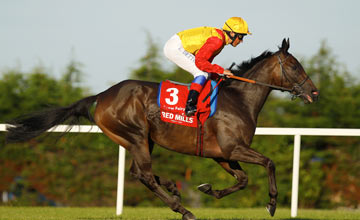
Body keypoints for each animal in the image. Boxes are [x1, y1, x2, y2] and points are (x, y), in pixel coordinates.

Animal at [6, 38, 318, 219]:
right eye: (294, 65)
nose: (313, 92)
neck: (240, 98)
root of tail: (102, 95)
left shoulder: (222, 154)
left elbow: (242, 180)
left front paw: (209, 189)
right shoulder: (233, 148)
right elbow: (269, 163)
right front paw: (272, 204)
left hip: (140, 139)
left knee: (138, 173)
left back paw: (173, 189)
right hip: (135, 135)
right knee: (144, 174)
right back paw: (183, 209)